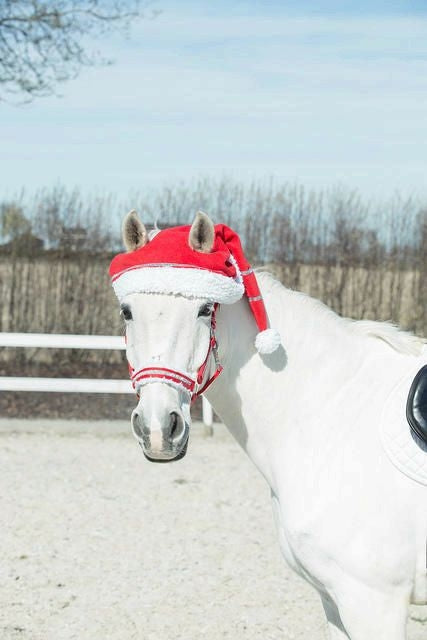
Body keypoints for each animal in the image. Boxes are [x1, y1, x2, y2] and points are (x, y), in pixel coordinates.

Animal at [113, 210, 427, 639]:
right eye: (127, 311)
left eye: (205, 309)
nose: (159, 429)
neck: (336, 410)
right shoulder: (334, 600)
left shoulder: (374, 602)